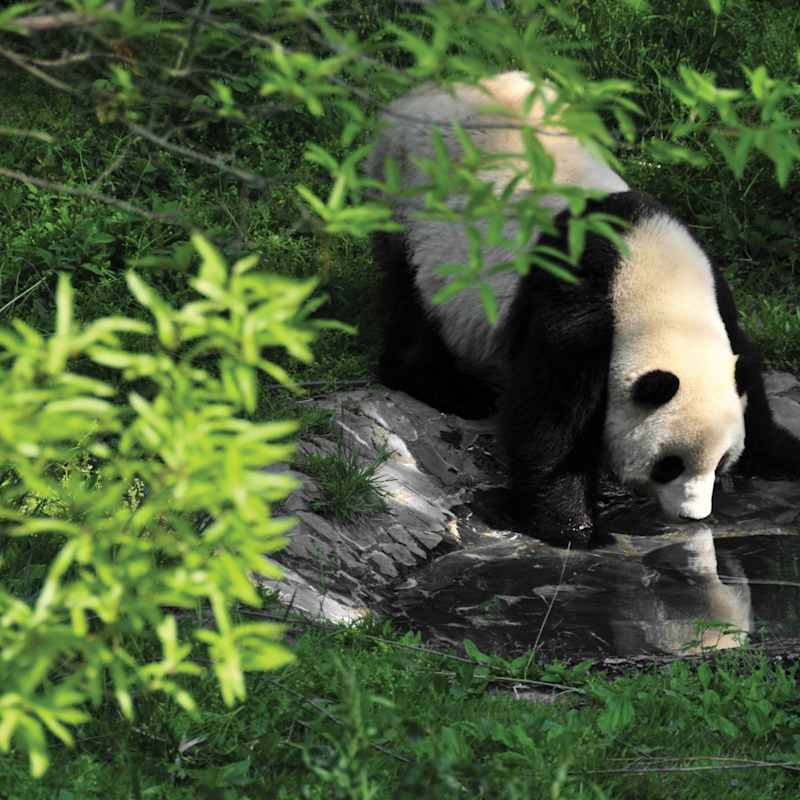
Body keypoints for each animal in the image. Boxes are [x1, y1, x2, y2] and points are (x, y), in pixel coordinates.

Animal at [366, 71, 800, 545]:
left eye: (722, 462)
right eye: (670, 465)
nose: (693, 516)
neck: (655, 287)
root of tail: (419, 95)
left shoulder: (717, 295)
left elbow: (751, 384)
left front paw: (783, 454)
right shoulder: (577, 305)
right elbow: (552, 422)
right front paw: (574, 527)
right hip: (410, 206)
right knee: (411, 303)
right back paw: (455, 390)